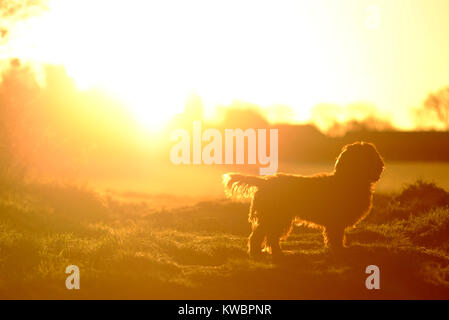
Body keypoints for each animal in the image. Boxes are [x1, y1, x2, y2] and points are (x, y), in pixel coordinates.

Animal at [222, 141, 384, 258]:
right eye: (360, 155)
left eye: (369, 154)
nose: (378, 166)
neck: (350, 179)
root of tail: (266, 181)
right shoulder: (335, 222)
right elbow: (336, 237)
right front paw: (339, 251)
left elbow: (337, 237)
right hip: (276, 218)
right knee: (260, 237)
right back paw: (260, 254)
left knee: (269, 237)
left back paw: (277, 253)